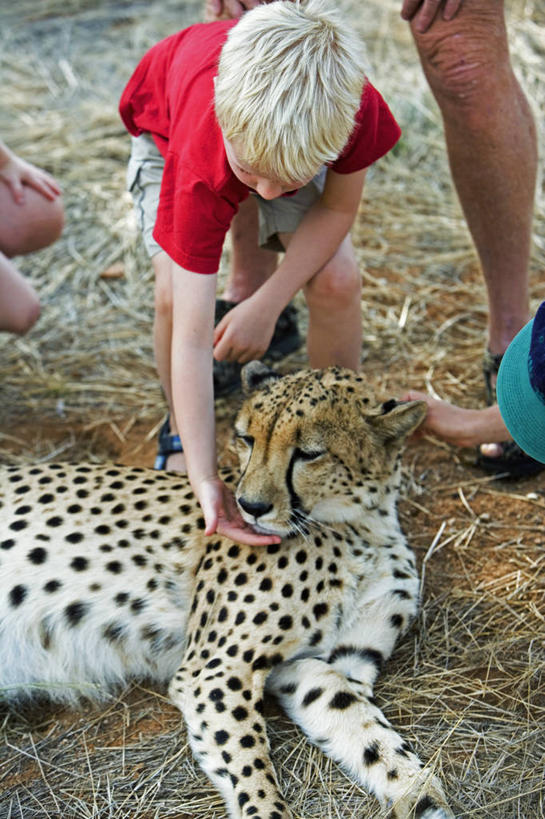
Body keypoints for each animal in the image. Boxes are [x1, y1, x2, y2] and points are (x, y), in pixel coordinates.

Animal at [0, 366, 450, 819]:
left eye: (309, 453)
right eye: (246, 438)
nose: (249, 506)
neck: (357, 526)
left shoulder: (321, 666)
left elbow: (364, 729)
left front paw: (418, 791)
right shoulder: (213, 668)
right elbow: (252, 768)